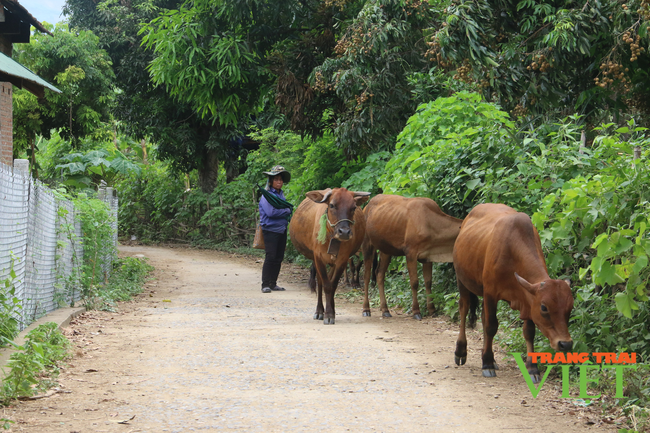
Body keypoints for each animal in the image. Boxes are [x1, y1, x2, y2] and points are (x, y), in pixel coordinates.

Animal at [290, 187, 370, 322]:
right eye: (332, 205)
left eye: (353, 207)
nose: (344, 232)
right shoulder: (318, 258)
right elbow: (326, 285)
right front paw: (326, 314)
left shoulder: (342, 259)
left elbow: (333, 285)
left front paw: (331, 312)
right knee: (320, 282)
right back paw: (319, 311)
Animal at [450, 202, 572, 382]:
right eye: (544, 308)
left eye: (570, 308)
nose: (565, 344)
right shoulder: (491, 293)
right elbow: (491, 326)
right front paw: (486, 364)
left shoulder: (528, 298)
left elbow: (529, 332)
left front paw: (532, 368)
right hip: (462, 280)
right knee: (464, 309)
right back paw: (461, 351)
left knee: (483, 317)